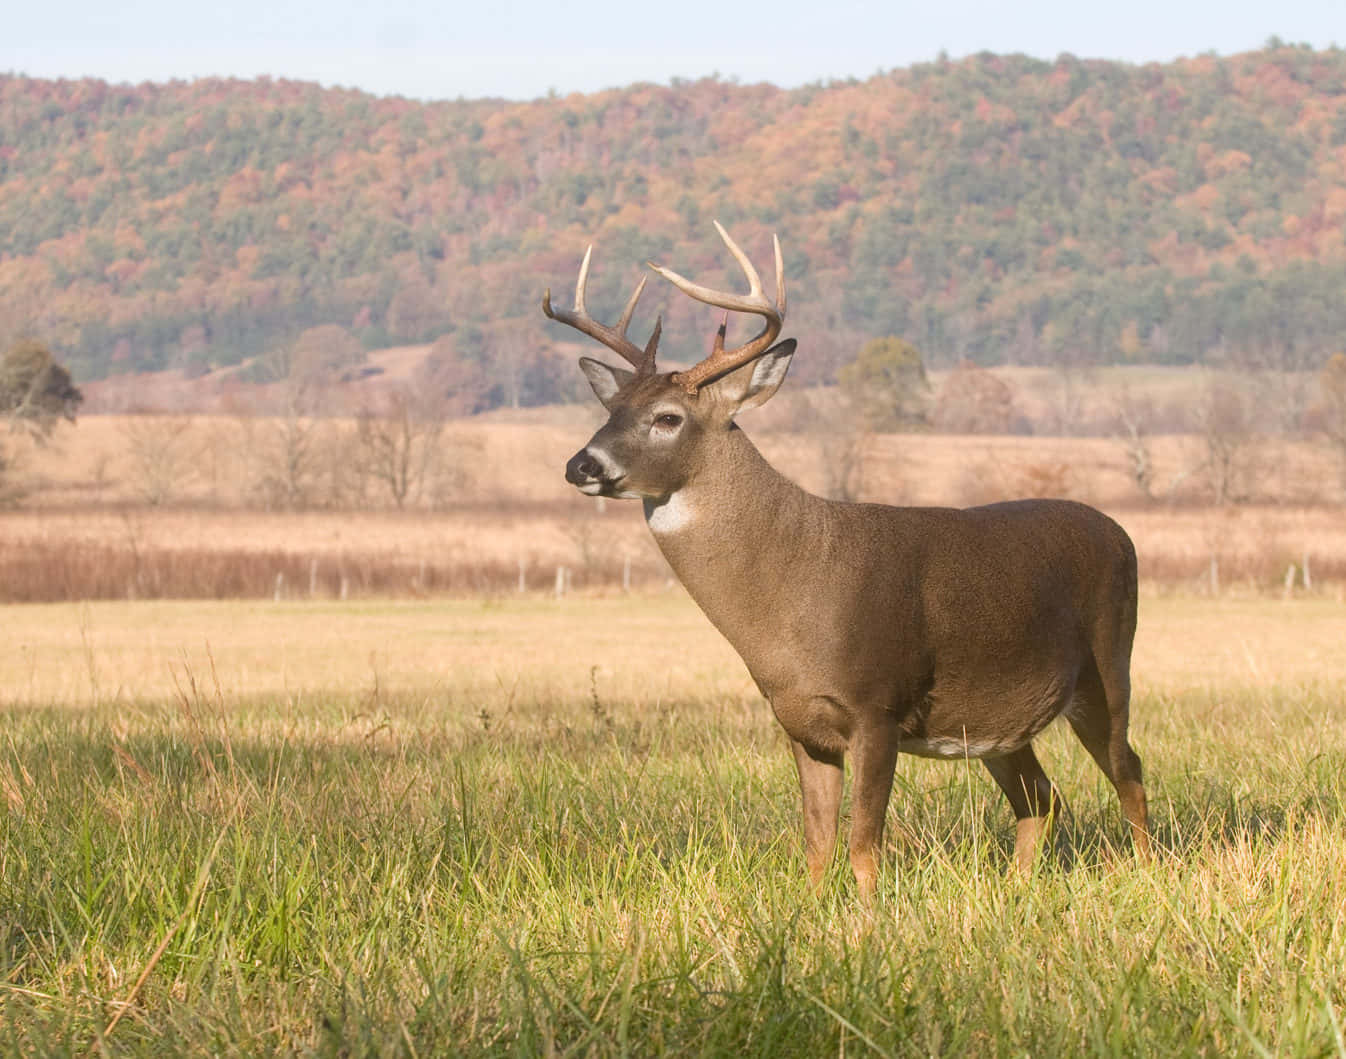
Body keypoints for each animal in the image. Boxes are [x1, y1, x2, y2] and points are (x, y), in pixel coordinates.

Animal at [545, 222, 1150, 899]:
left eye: (667, 417)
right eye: (610, 411)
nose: (580, 465)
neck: (795, 594)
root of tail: (1121, 533)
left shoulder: (878, 705)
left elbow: (864, 844)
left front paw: (868, 917)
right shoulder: (800, 724)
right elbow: (816, 844)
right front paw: (811, 910)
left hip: (1108, 666)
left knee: (1128, 769)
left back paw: (1150, 871)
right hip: (1000, 720)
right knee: (1041, 798)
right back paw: (1017, 891)